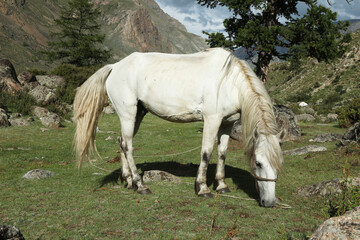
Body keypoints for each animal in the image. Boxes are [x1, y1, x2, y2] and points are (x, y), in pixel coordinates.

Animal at [74, 47, 284, 207]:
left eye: (279, 164)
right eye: (259, 163)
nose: (269, 202)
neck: (229, 82)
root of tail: (115, 66)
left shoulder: (227, 123)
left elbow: (222, 153)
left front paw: (222, 185)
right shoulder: (212, 119)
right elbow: (206, 152)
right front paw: (202, 188)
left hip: (137, 115)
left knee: (121, 142)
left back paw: (128, 180)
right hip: (128, 113)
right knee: (128, 146)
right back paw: (140, 185)